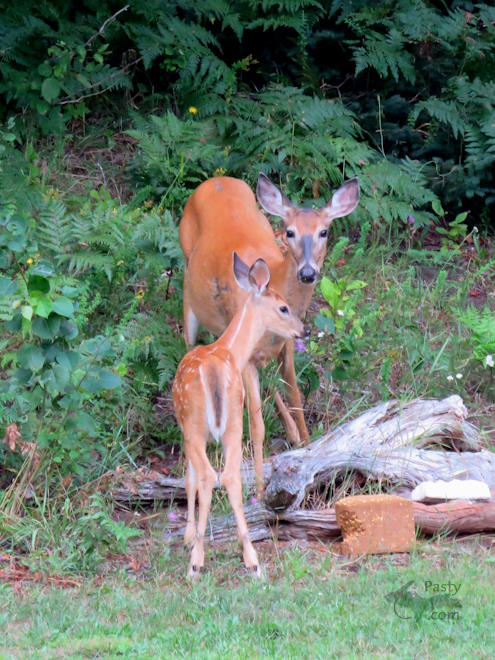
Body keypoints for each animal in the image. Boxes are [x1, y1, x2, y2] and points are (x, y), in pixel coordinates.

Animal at [174, 253, 306, 576]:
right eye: (283, 307)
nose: (303, 330)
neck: (230, 349)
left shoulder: (184, 428)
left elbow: (189, 478)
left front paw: (188, 536)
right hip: (233, 421)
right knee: (231, 476)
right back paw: (251, 557)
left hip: (196, 424)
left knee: (209, 475)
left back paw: (196, 561)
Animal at [179, 173, 360, 492]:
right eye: (289, 232)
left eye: (324, 231)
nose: (308, 273)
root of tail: (216, 179)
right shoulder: (247, 358)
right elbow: (257, 425)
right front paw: (261, 487)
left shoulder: (287, 345)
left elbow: (295, 395)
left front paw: (308, 446)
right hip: (188, 289)